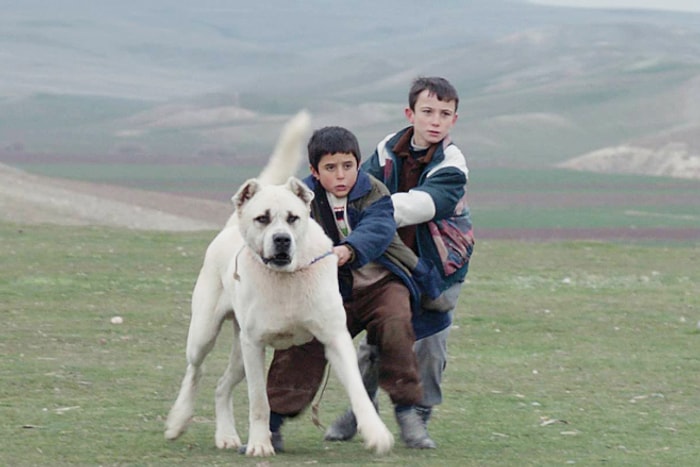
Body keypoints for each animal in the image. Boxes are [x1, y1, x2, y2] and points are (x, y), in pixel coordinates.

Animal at [164, 112, 394, 458]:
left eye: (293, 218)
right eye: (263, 218)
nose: (282, 239)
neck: (287, 278)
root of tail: (230, 227)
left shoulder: (334, 338)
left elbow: (358, 390)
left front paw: (376, 433)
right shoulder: (255, 344)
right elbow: (260, 401)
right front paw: (260, 444)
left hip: (238, 353)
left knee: (221, 386)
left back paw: (226, 435)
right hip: (206, 334)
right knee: (195, 371)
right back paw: (178, 421)